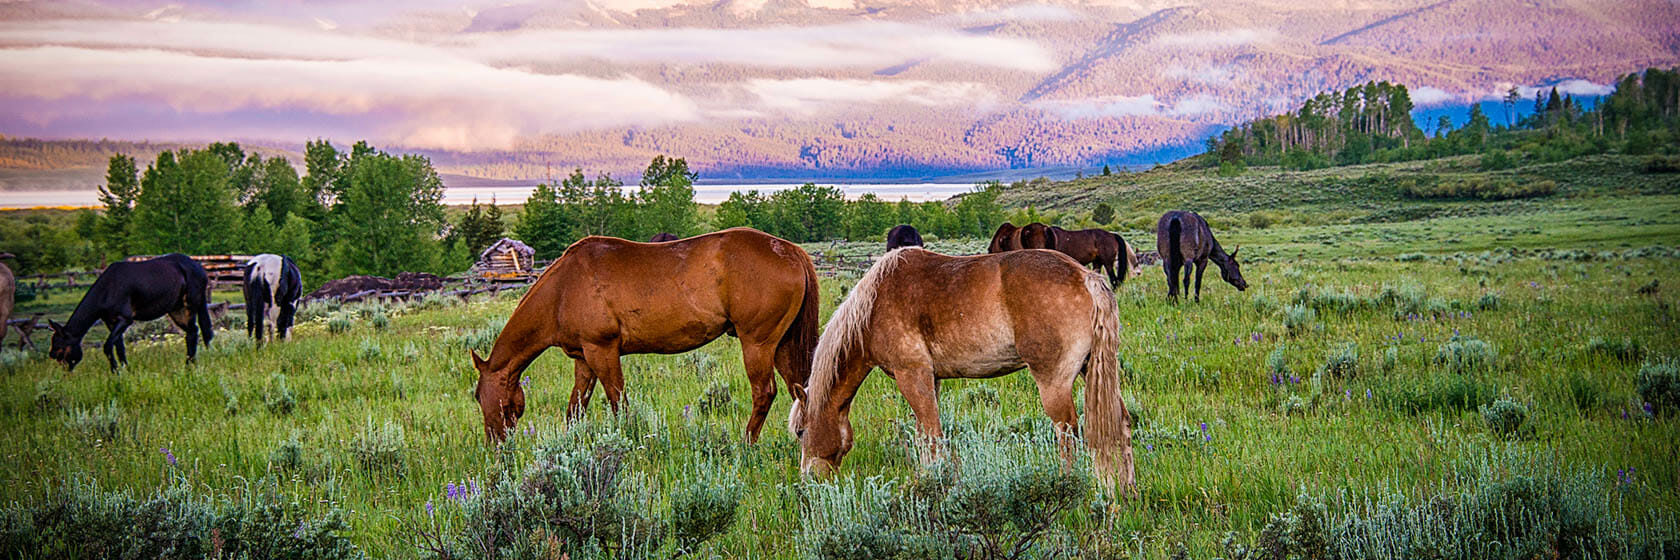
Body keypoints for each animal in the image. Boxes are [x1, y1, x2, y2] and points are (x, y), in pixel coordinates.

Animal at [48, 252, 213, 369]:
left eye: (60, 348)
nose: (65, 371)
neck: (108, 289)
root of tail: (200, 268)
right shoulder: (111, 322)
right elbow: (119, 347)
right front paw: (125, 371)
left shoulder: (125, 319)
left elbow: (108, 346)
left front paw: (115, 370)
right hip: (177, 310)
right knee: (192, 332)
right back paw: (190, 364)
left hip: (192, 304)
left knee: (198, 331)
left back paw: (191, 364)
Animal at [473, 225, 819, 440]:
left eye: (478, 396)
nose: (495, 444)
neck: (563, 289)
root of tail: (792, 251)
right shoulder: (583, 358)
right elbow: (575, 409)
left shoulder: (603, 351)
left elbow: (619, 403)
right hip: (783, 344)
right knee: (801, 390)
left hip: (758, 343)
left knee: (765, 393)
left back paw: (746, 443)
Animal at [789, 247, 1135, 487]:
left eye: (801, 431)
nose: (808, 479)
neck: (874, 305)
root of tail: (1087, 278)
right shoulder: (931, 379)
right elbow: (924, 434)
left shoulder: (911, 375)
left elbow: (931, 434)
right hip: (1092, 370)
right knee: (1120, 423)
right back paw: (1125, 490)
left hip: (1053, 382)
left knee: (1067, 432)